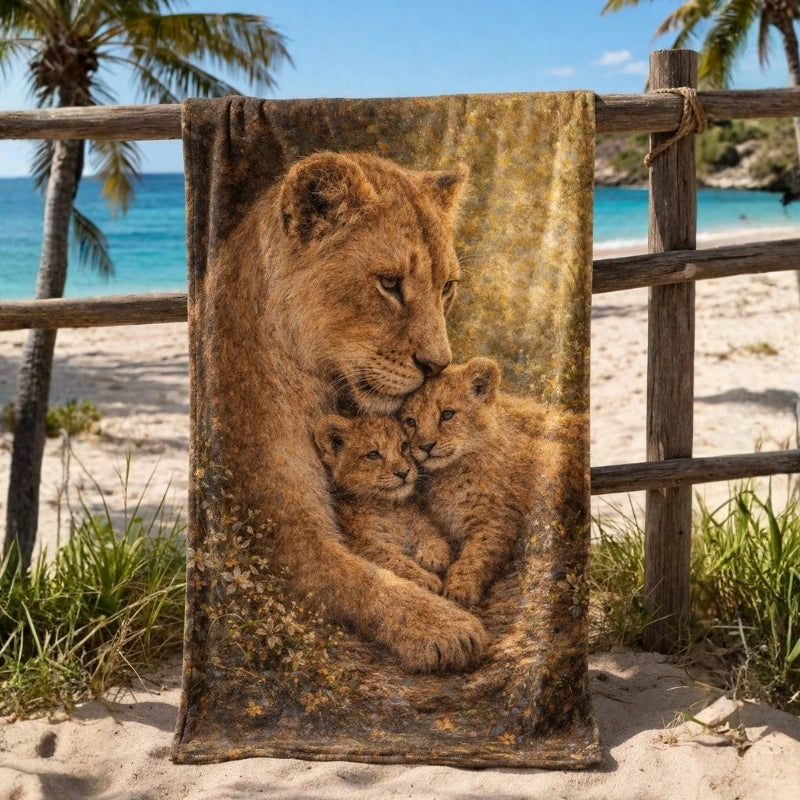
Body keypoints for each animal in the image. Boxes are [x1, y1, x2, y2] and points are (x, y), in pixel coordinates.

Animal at [315, 414, 451, 594]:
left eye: (403, 446)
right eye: (373, 455)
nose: (403, 472)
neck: (389, 507)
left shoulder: (417, 518)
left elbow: (428, 530)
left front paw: (434, 556)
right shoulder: (367, 545)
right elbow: (394, 560)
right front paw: (428, 579)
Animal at [400, 357, 585, 607]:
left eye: (447, 414)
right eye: (410, 421)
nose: (426, 446)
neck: (450, 474)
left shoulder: (499, 520)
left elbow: (478, 554)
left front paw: (460, 589)